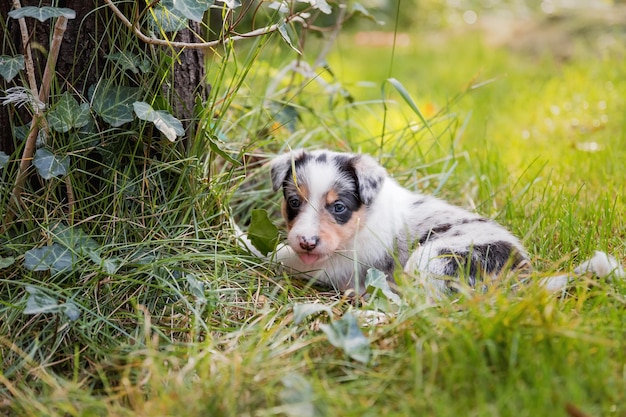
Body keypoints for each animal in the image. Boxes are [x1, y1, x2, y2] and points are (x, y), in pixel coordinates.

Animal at [236, 149, 620, 292]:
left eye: (339, 207)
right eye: (294, 202)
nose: (307, 241)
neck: (364, 218)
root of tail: (523, 275)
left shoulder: (333, 265)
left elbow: (276, 255)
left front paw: (238, 238)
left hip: (434, 260)